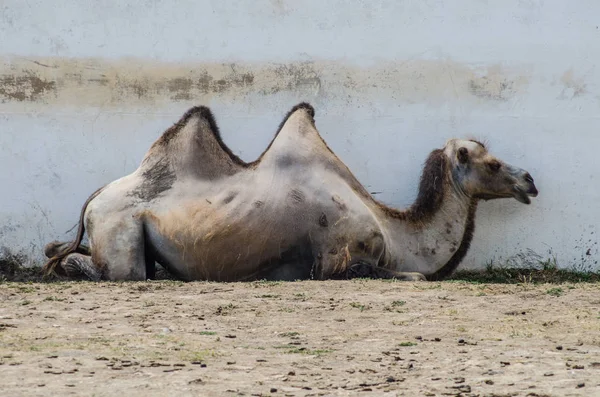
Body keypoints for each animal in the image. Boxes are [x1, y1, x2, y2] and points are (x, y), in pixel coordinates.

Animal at [42, 103, 540, 282]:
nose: (530, 181)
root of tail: (94, 197)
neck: (393, 231)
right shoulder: (338, 258)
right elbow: (413, 277)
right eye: (492, 163)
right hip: (120, 229)